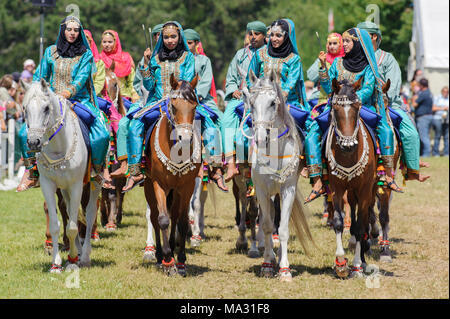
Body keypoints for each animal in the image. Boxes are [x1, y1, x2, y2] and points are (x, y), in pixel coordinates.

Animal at [23, 79, 101, 272]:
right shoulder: (48, 185)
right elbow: (56, 224)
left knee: (89, 214)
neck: (59, 147)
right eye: (25, 109)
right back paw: (78, 251)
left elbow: (73, 227)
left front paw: (72, 261)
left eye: (46, 108)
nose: (33, 142)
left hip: (94, 183)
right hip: (64, 189)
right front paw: (56, 263)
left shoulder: (76, 185)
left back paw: (84, 256)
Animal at [143, 74, 201, 276]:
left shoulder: (187, 186)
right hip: (149, 185)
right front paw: (168, 261)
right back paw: (160, 255)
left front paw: (181, 261)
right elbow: (162, 220)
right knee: (154, 216)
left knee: (175, 215)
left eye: (194, 106)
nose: (185, 139)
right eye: (174, 106)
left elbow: (182, 222)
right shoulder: (159, 183)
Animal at [241, 70, 314, 282]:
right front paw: (267, 264)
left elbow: (283, 229)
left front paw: (285, 269)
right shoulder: (261, 190)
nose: (259, 138)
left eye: (273, 103)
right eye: (251, 102)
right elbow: (266, 225)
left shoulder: (287, 189)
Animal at [324, 79, 380, 278]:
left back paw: (362, 260)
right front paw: (341, 263)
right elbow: (339, 222)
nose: (348, 146)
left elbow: (360, 227)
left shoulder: (364, 190)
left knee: (364, 220)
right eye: (335, 108)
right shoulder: (337, 188)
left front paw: (356, 265)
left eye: (357, 107)